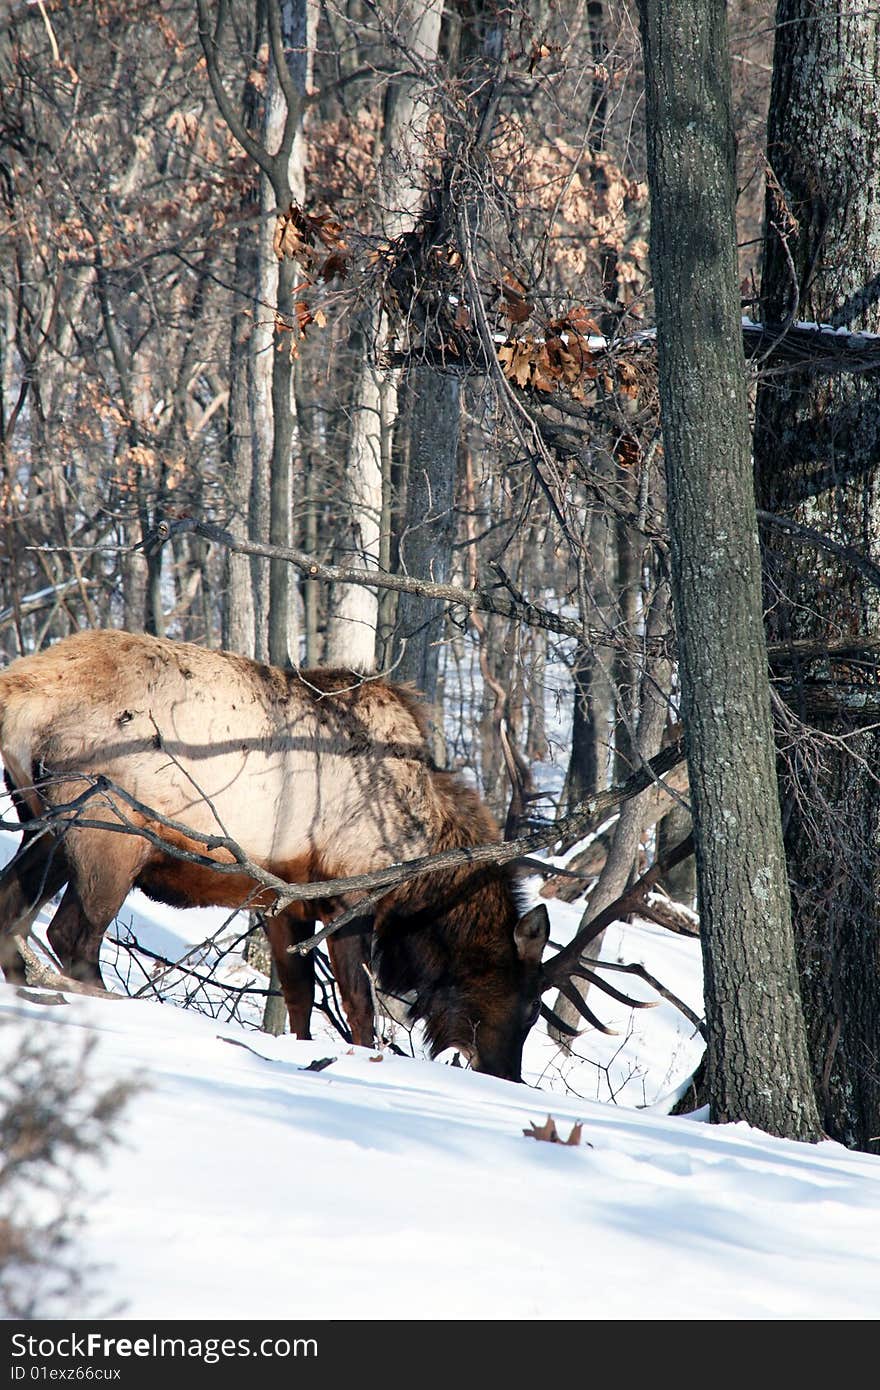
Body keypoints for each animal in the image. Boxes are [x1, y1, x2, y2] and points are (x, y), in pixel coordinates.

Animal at [0, 628, 550, 1073]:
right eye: (528, 1006)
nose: (507, 1074)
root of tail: (21, 691)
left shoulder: (284, 902)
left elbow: (299, 998)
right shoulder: (352, 893)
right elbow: (359, 1007)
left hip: (42, 827)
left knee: (13, 912)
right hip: (109, 828)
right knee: (71, 933)